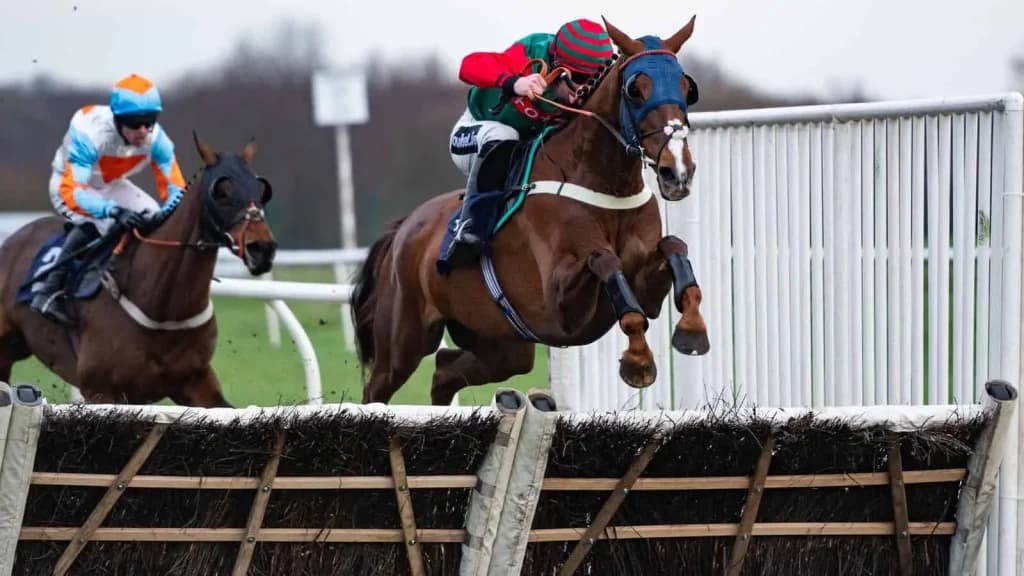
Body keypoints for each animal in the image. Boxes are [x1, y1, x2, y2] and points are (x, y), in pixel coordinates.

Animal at [0, 134, 277, 407]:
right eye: (222, 191)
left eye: (261, 189)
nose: (262, 248)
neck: (163, 308)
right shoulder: (101, 391)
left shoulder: (197, 382)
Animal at [351, 16, 709, 405]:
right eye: (635, 89)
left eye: (686, 87)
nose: (677, 171)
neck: (604, 183)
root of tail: (404, 228)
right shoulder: (560, 305)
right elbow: (605, 261)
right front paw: (638, 358)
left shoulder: (645, 286)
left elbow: (675, 247)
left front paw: (692, 328)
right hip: (403, 338)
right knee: (377, 388)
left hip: (502, 344)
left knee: (443, 372)